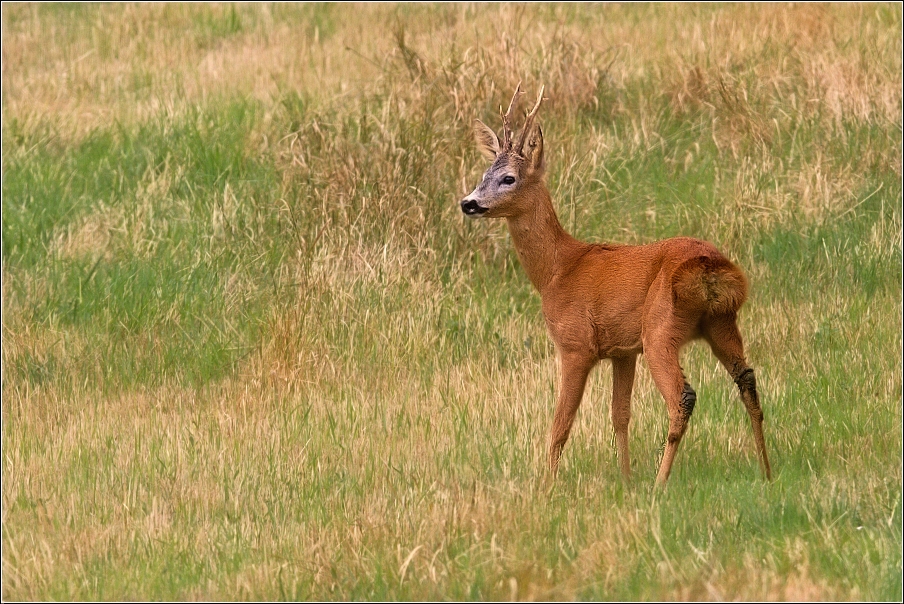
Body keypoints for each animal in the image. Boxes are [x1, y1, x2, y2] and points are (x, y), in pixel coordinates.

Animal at [462, 84, 772, 486]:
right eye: (484, 173)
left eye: (509, 178)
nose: (468, 203)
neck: (557, 270)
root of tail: (709, 266)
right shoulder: (623, 350)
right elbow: (620, 415)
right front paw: (625, 479)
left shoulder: (576, 344)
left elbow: (561, 423)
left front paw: (546, 485)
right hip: (720, 321)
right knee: (747, 379)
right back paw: (767, 470)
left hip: (660, 326)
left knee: (683, 396)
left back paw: (660, 483)